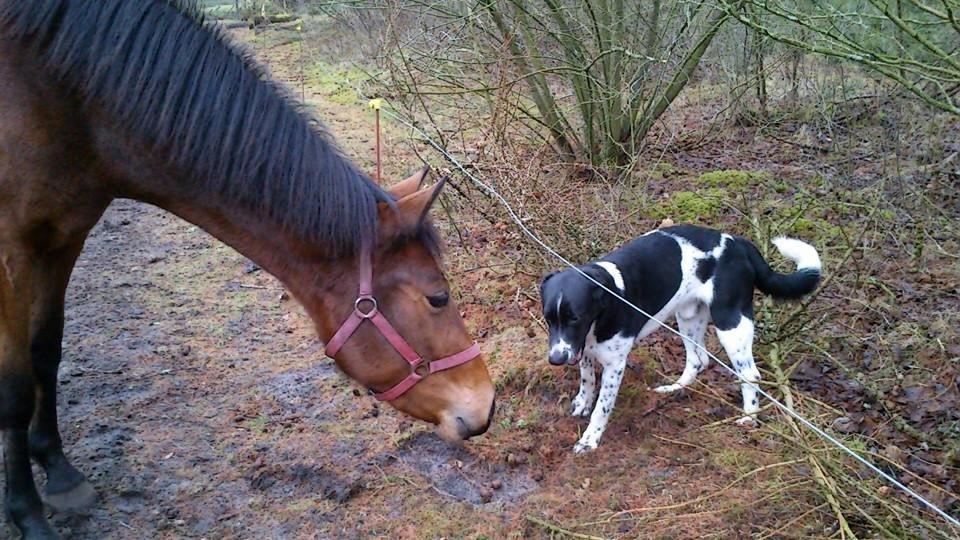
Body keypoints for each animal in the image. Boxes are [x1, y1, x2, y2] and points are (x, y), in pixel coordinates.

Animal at [0, 2, 496, 536]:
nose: (487, 404)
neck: (67, 99)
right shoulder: (12, 247)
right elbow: (14, 388)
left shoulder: (64, 236)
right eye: (438, 298)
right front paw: (28, 514)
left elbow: (47, 352)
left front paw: (59, 472)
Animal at [536, 223, 820, 452]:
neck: (607, 298)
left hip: (731, 322)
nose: (556, 359)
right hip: (688, 316)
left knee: (750, 374)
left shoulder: (614, 365)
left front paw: (590, 439)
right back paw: (675, 388)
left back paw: (750, 417)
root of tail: (739, 243)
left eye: (576, 318)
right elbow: (587, 381)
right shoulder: (583, 350)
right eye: (548, 318)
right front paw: (582, 403)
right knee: (698, 359)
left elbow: (601, 408)